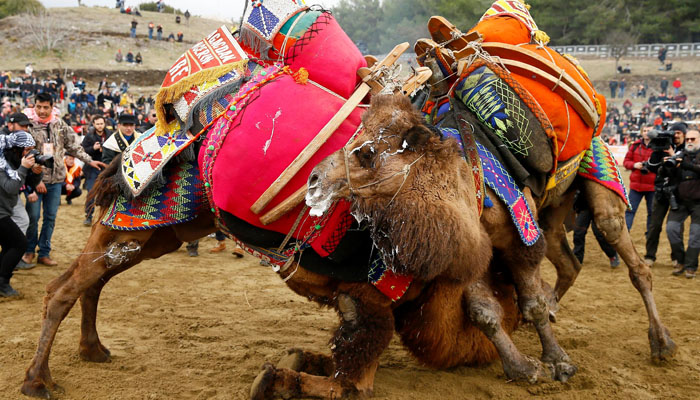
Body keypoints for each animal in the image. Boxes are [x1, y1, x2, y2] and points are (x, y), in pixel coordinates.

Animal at [305, 94, 677, 386]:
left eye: (367, 153)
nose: (314, 179)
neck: (468, 177)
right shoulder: (472, 247)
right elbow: (483, 311)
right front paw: (522, 367)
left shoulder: (520, 237)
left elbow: (531, 301)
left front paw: (558, 362)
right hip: (551, 213)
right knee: (569, 263)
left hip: (597, 177)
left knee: (628, 254)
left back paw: (662, 344)